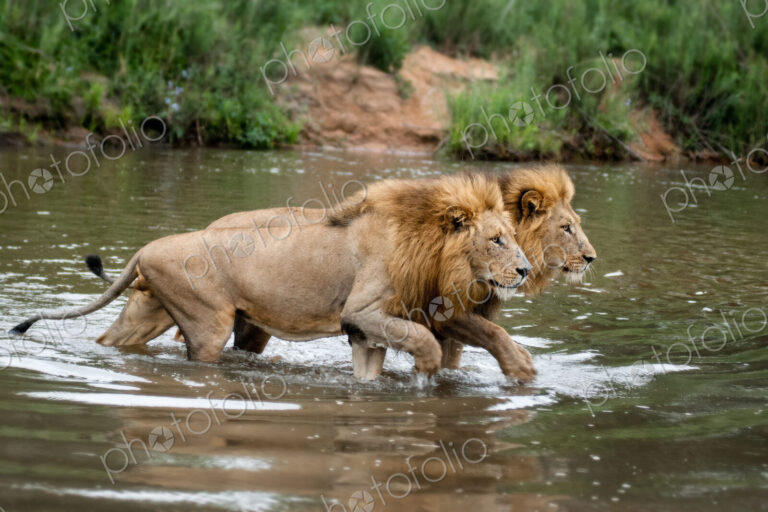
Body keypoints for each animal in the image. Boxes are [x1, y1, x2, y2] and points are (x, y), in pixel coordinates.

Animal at [83, 165, 595, 379]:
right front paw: (518, 368)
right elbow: (480, 338)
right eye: (567, 227)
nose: (590, 258)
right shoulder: (414, 314)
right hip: (209, 326)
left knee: (112, 337)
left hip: (166, 312)